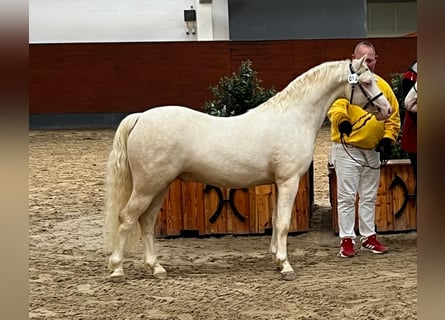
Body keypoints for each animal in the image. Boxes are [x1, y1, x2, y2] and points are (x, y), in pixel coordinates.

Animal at [102, 55, 390, 282]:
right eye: (366, 83)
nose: (386, 109)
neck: (294, 117)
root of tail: (140, 117)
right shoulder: (288, 181)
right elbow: (283, 223)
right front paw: (286, 266)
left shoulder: (278, 183)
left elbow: (275, 220)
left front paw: (275, 259)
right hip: (148, 186)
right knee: (127, 218)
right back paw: (117, 270)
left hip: (159, 187)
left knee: (146, 222)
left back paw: (156, 268)